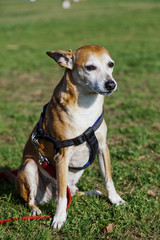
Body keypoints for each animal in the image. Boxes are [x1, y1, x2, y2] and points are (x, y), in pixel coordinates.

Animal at [15, 44, 125, 230]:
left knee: (73, 192)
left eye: (111, 64)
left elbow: (108, 179)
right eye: (90, 67)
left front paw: (115, 199)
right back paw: (35, 210)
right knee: (35, 198)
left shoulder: (103, 148)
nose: (111, 84)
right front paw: (59, 218)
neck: (86, 107)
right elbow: (61, 196)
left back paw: (92, 192)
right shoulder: (62, 155)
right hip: (29, 166)